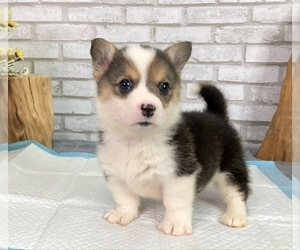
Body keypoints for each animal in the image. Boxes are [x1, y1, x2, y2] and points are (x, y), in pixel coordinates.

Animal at [90, 38, 250, 235]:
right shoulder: (116, 176)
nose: (148, 108)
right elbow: (125, 198)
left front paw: (176, 224)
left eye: (164, 86)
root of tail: (217, 115)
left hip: (230, 168)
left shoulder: (180, 176)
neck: (137, 140)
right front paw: (122, 214)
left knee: (237, 191)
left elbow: (176, 203)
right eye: (125, 84)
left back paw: (235, 216)